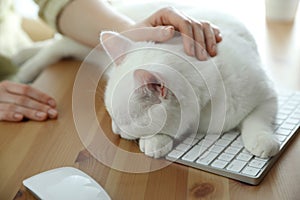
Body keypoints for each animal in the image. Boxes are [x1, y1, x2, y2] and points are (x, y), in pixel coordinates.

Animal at [100, 13, 278, 159]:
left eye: (124, 123)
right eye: (111, 116)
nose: (115, 130)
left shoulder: (268, 95)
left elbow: (257, 119)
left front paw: (263, 140)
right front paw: (155, 141)